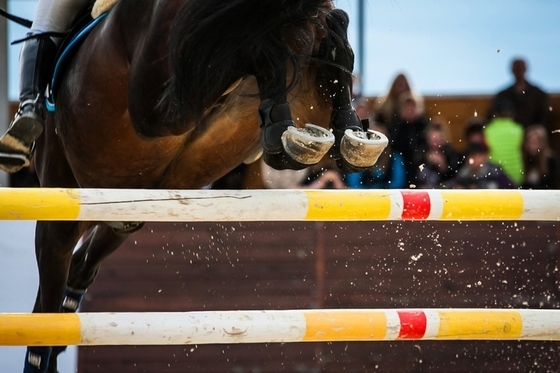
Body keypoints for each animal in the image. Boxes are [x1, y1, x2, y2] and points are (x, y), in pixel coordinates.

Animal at [25, 0, 384, 370]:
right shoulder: (159, 106)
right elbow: (256, 48)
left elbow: (331, 29)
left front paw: (349, 134)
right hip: (65, 203)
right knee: (50, 294)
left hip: (125, 206)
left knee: (83, 263)